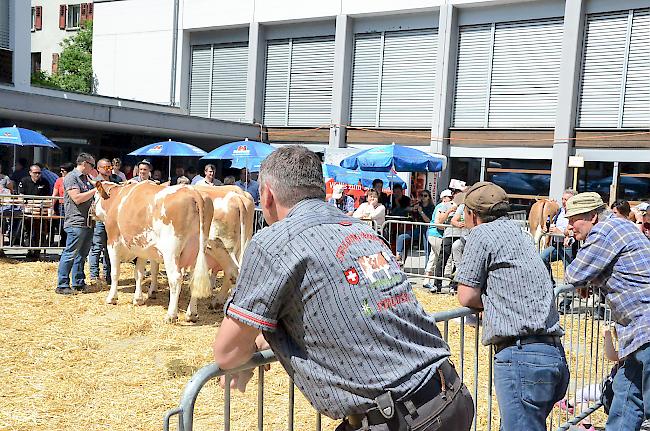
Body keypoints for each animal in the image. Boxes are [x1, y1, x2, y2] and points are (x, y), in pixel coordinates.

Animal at [93, 181, 238, 322]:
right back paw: (192, 314)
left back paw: (171, 315)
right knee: (201, 277)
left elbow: (115, 273)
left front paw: (112, 298)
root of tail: (193, 192)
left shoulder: (113, 242)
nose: (91, 213)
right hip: (198, 251)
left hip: (172, 251)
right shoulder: (141, 248)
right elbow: (139, 273)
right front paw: (138, 299)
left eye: (94, 197)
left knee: (176, 278)